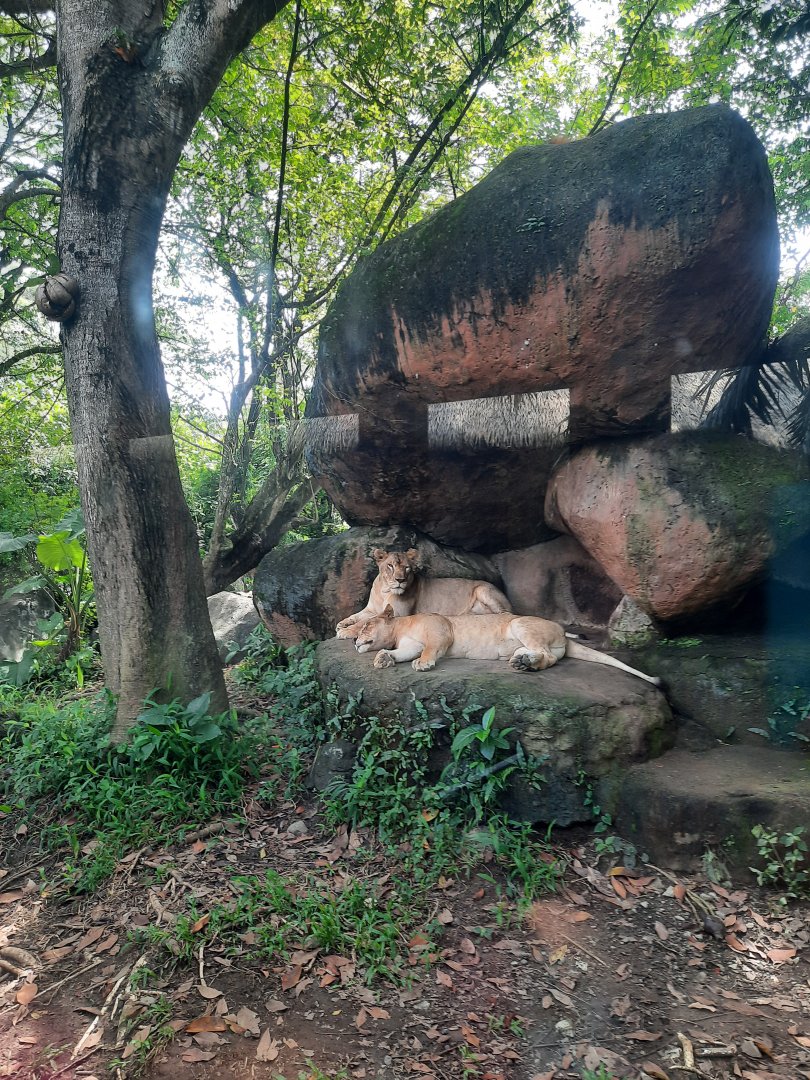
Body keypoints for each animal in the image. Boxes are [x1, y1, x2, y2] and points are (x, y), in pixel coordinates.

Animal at [335, 548, 511, 639]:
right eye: (390, 566)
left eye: (407, 568)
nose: (400, 580)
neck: (385, 590)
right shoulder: (371, 608)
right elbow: (357, 616)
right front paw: (342, 623)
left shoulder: (397, 612)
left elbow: (365, 621)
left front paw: (346, 631)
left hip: (482, 589)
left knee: (504, 614)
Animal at [353, 606, 661, 686]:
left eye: (365, 627)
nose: (355, 641)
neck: (400, 627)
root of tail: (563, 634)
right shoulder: (410, 644)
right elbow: (400, 653)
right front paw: (383, 658)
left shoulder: (441, 631)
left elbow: (429, 650)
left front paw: (425, 663)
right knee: (543, 654)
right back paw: (521, 661)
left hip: (521, 623)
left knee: (549, 656)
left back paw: (525, 663)